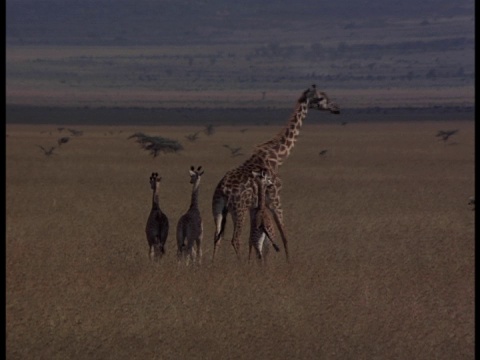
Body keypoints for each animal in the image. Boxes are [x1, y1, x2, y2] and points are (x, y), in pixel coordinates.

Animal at [211, 86, 342, 262]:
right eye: (321, 98)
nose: (336, 108)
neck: (276, 158)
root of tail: (223, 190)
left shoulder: (255, 206)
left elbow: (252, 238)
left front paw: (252, 262)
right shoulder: (275, 199)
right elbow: (284, 235)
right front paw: (289, 263)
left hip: (217, 209)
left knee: (216, 237)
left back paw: (212, 265)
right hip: (238, 209)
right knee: (235, 239)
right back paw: (239, 265)